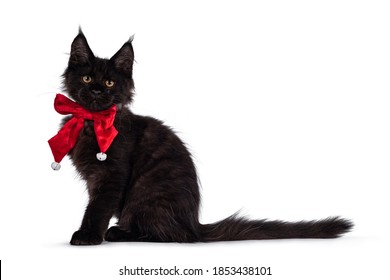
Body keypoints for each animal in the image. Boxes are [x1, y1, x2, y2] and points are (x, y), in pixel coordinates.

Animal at [52, 30, 354, 245]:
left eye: (110, 82)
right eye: (87, 79)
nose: (97, 91)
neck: (92, 121)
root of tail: (193, 223)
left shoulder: (111, 175)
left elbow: (97, 208)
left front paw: (88, 236)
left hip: (146, 196)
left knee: (171, 235)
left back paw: (119, 233)